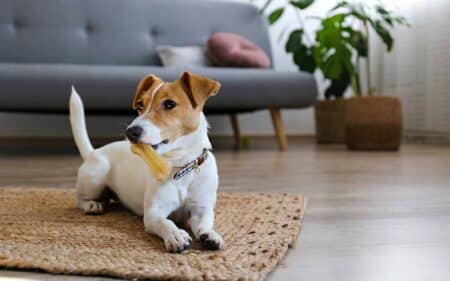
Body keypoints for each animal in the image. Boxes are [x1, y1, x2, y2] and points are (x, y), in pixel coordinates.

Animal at [70, 70, 223, 252]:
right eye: (140, 105)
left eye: (169, 104)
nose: (130, 132)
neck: (179, 166)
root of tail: (93, 152)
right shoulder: (153, 213)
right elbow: (166, 223)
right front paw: (176, 235)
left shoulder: (201, 208)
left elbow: (205, 222)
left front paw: (210, 234)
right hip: (95, 178)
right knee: (79, 198)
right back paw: (91, 205)